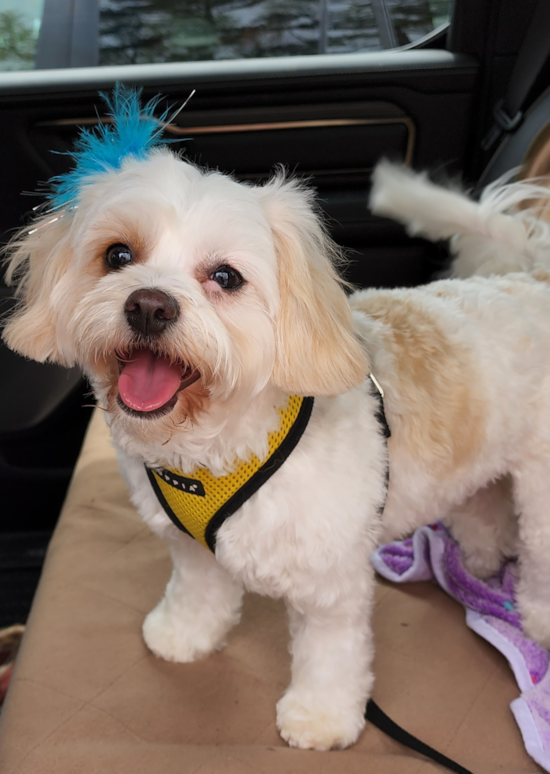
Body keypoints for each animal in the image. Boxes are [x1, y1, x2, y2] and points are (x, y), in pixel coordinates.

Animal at [5, 95, 550, 752]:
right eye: (117, 255)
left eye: (226, 277)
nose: (149, 305)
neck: (219, 447)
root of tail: (531, 278)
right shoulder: (193, 550)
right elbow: (198, 593)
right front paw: (182, 634)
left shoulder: (331, 582)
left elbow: (331, 653)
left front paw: (320, 717)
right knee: (482, 505)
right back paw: (480, 562)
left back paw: (535, 617)